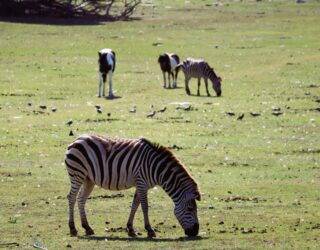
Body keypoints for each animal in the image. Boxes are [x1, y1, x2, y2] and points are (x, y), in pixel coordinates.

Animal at [64, 134, 200, 237]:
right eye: (190, 209)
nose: (195, 232)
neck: (157, 169)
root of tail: (77, 139)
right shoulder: (142, 183)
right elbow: (144, 207)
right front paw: (149, 230)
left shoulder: (141, 184)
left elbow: (135, 205)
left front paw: (130, 229)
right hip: (77, 174)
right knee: (71, 198)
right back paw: (73, 228)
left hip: (88, 179)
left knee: (81, 199)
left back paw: (87, 228)